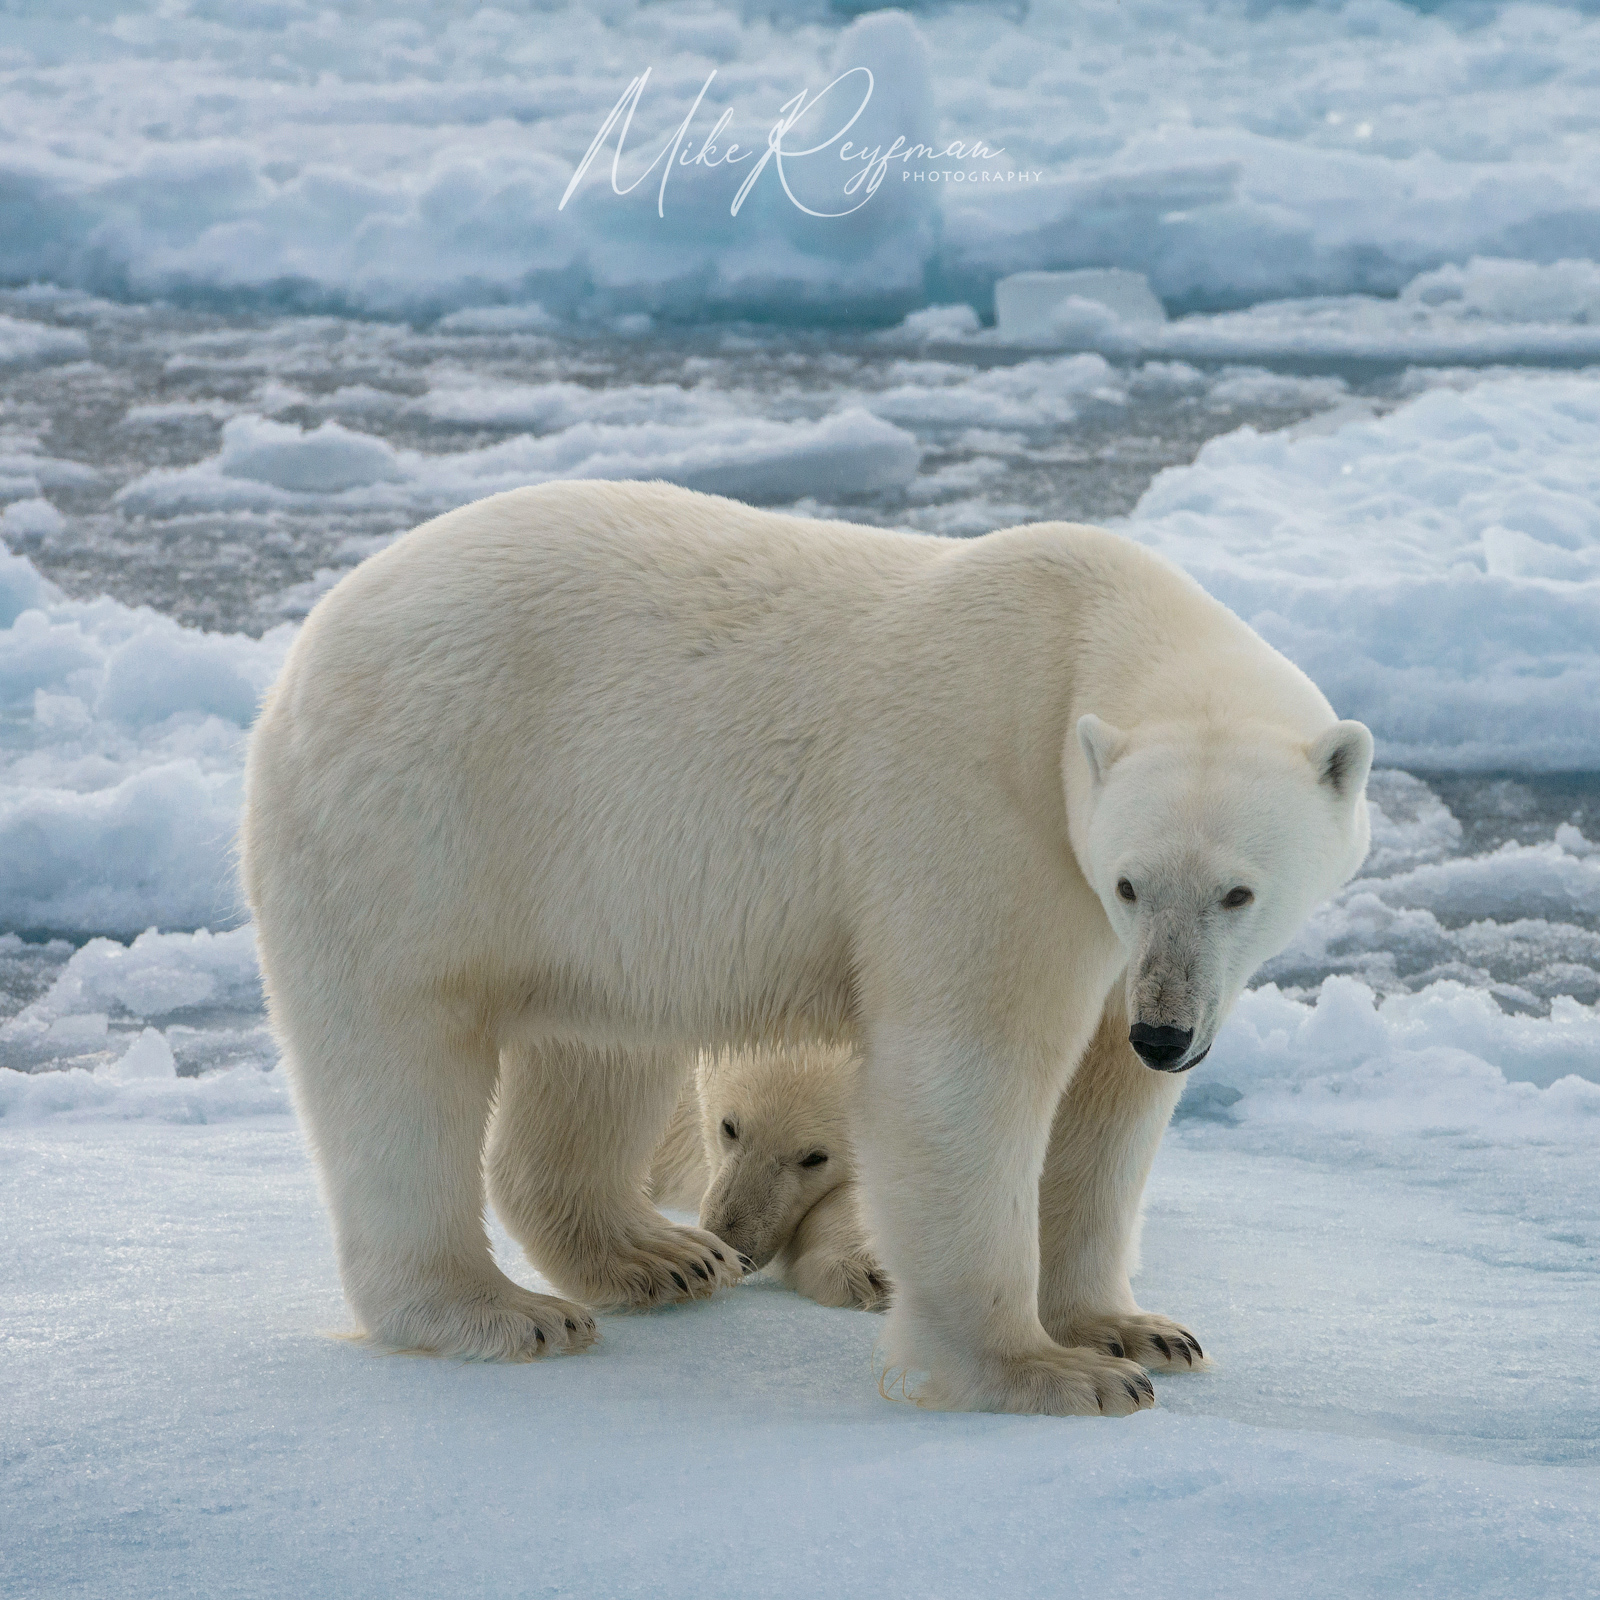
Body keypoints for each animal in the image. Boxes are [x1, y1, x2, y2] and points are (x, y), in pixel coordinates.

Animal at [240, 473, 1376, 1414]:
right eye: (1134, 880)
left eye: (1240, 891)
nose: (1167, 1033)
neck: (1076, 638)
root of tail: (310, 642)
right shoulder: (983, 827)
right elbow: (968, 1073)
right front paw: (1046, 1373)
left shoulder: (1107, 929)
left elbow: (1105, 1107)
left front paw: (1134, 1328)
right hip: (420, 817)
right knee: (400, 1062)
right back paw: (496, 1309)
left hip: (589, 889)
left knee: (598, 1052)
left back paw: (654, 1254)